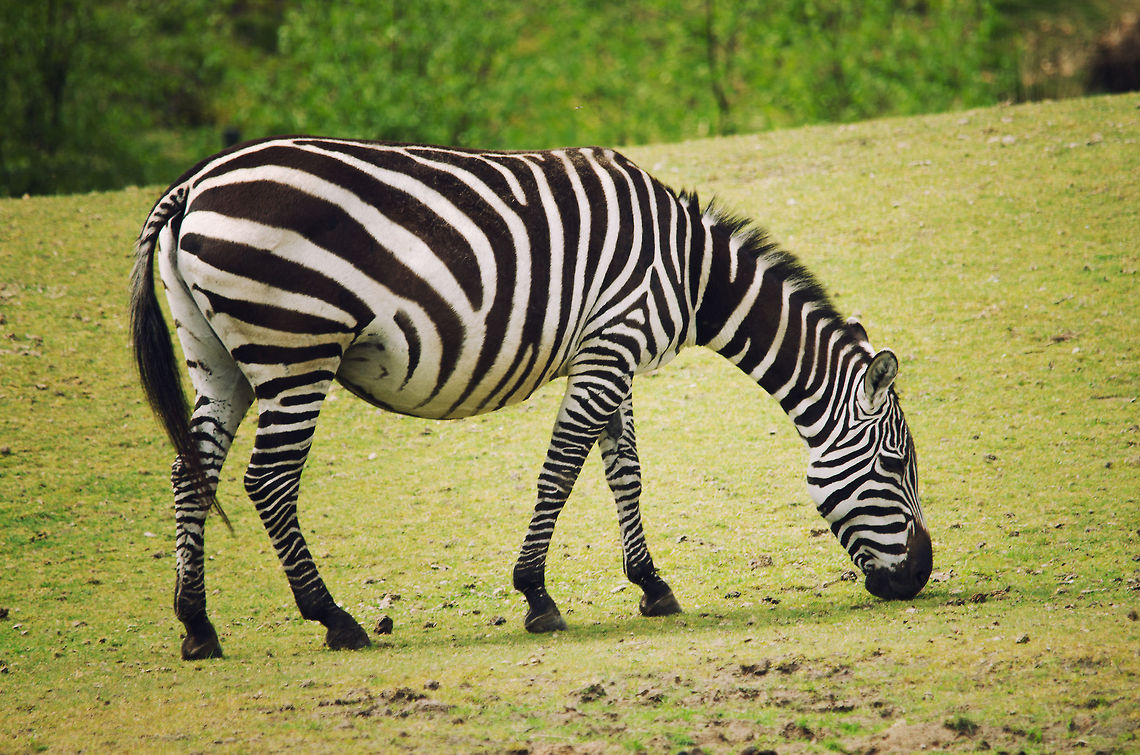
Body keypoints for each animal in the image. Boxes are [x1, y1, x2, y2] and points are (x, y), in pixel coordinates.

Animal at [129, 138, 932, 659]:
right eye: (894, 468)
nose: (920, 577)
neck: (692, 271)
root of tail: (192, 186)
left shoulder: (611, 350)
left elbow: (623, 470)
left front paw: (651, 584)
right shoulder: (613, 343)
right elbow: (563, 469)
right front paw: (537, 596)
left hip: (217, 358)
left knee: (190, 473)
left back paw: (197, 626)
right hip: (296, 347)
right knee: (269, 480)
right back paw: (335, 619)